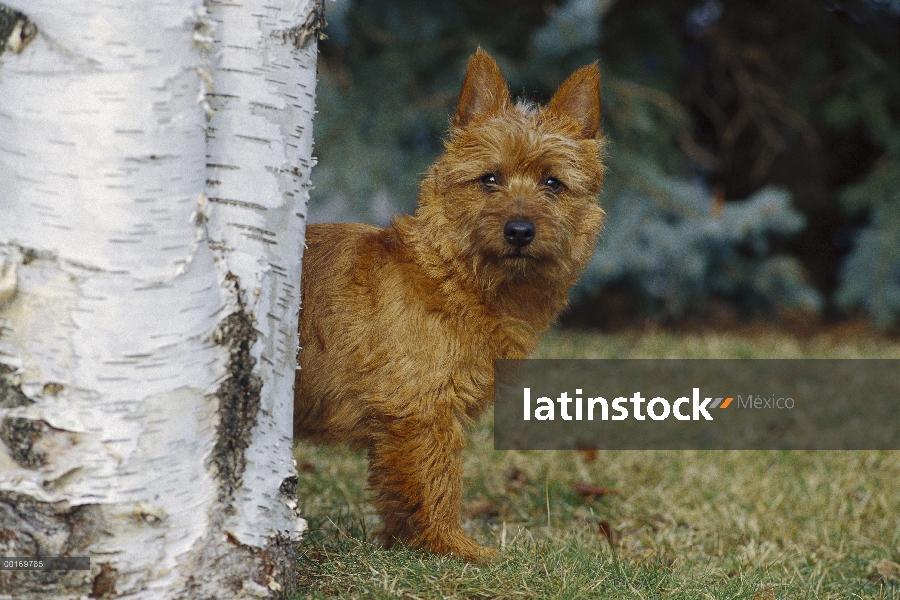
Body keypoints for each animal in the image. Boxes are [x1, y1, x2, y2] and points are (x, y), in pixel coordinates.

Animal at [296, 48, 604, 564]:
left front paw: (404, 545)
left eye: (553, 183)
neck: (451, 276)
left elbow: (397, 490)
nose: (520, 230)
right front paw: (457, 549)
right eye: (489, 179)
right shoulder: (424, 412)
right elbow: (436, 484)